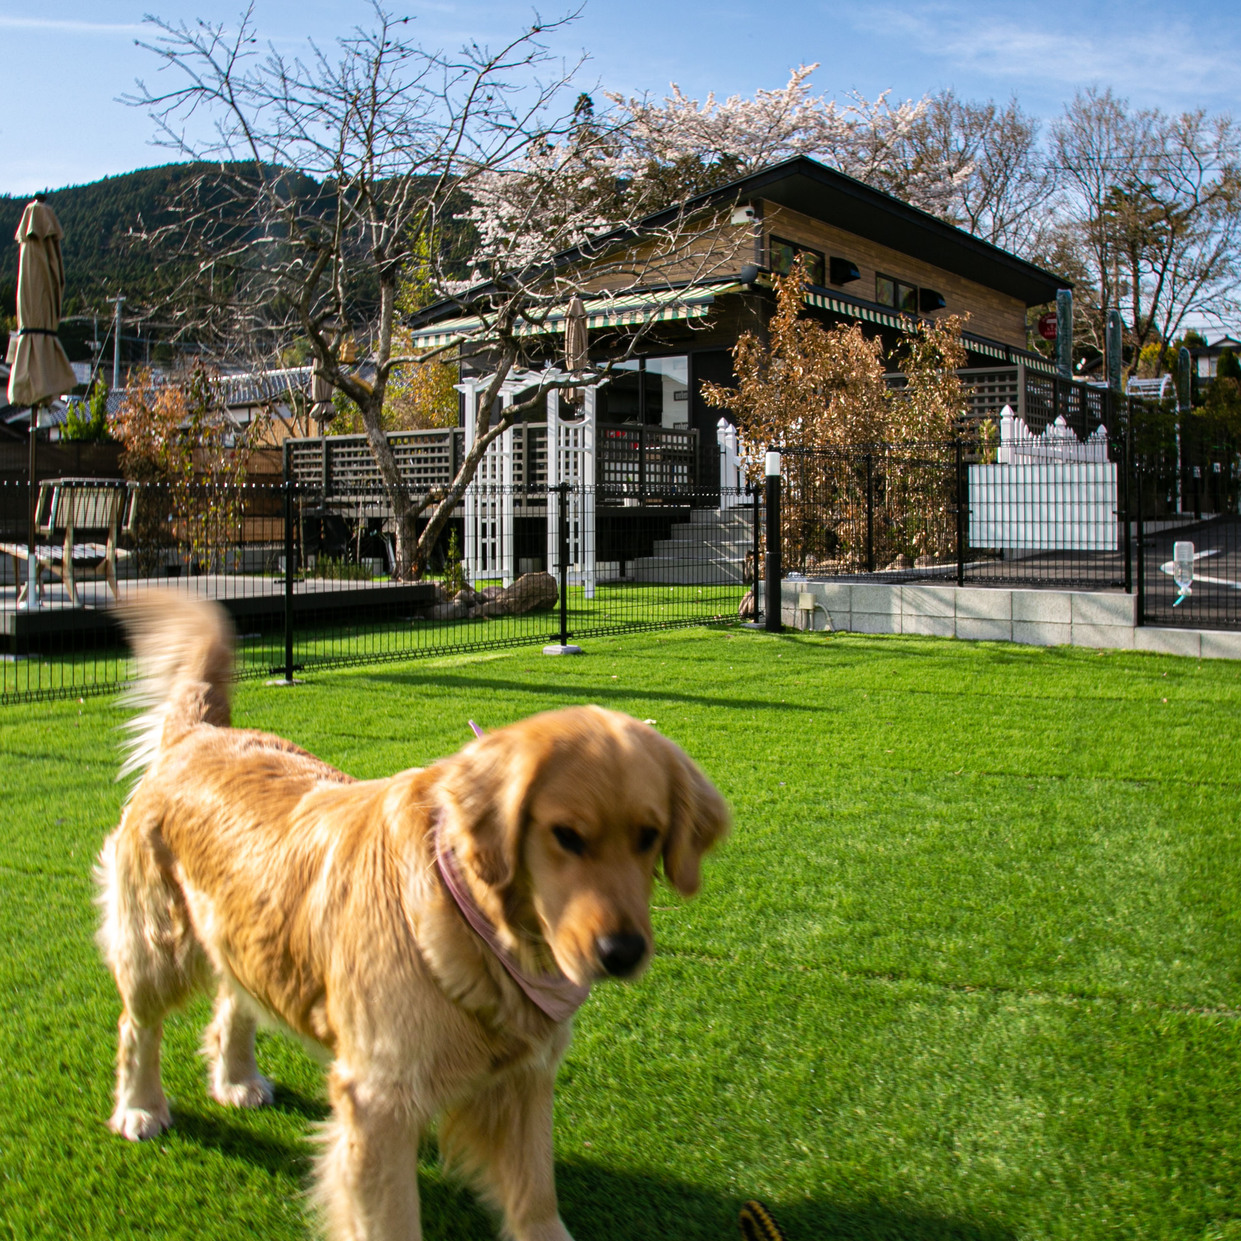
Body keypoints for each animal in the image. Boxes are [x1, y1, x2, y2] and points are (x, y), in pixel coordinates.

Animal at [101, 595, 729, 1236]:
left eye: (649, 836)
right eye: (566, 836)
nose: (621, 954)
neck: (478, 924)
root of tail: (201, 734)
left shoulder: (525, 1079)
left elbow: (536, 1199)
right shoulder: (379, 1101)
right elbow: (394, 1219)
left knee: (235, 997)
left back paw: (236, 1080)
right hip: (158, 945)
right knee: (137, 1026)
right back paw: (141, 1108)